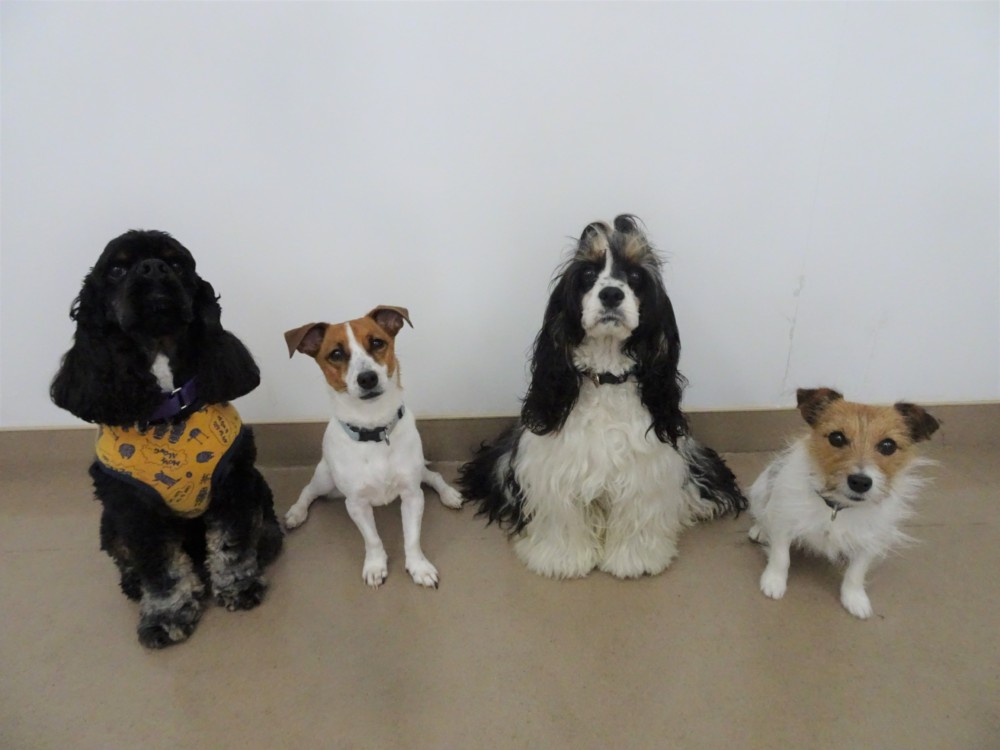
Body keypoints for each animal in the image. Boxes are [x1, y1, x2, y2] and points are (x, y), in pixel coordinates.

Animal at [50, 230, 283, 648]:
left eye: (176, 262)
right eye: (117, 268)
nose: (152, 268)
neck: (169, 406)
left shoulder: (234, 485)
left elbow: (231, 544)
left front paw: (240, 588)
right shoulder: (134, 509)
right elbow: (159, 567)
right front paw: (166, 617)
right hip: (109, 523)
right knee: (129, 559)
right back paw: (135, 584)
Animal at [283, 306, 463, 588]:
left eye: (377, 343)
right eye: (336, 354)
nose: (367, 378)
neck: (374, 428)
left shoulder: (412, 494)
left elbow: (412, 538)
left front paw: (418, 566)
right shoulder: (356, 504)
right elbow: (373, 539)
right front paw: (376, 565)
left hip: (418, 474)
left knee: (433, 476)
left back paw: (448, 494)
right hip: (325, 479)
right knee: (308, 490)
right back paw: (297, 512)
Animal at [459, 215, 746, 579]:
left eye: (635, 276)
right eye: (587, 274)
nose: (611, 293)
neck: (606, 379)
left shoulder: (644, 472)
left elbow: (638, 518)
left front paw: (635, 560)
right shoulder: (556, 471)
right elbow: (563, 520)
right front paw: (562, 560)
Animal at [748, 387, 939, 619]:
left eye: (888, 445)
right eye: (836, 437)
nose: (860, 482)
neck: (837, 508)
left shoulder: (870, 542)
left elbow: (856, 573)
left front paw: (855, 599)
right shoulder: (784, 521)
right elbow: (781, 557)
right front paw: (774, 581)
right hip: (760, 491)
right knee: (761, 514)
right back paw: (759, 530)